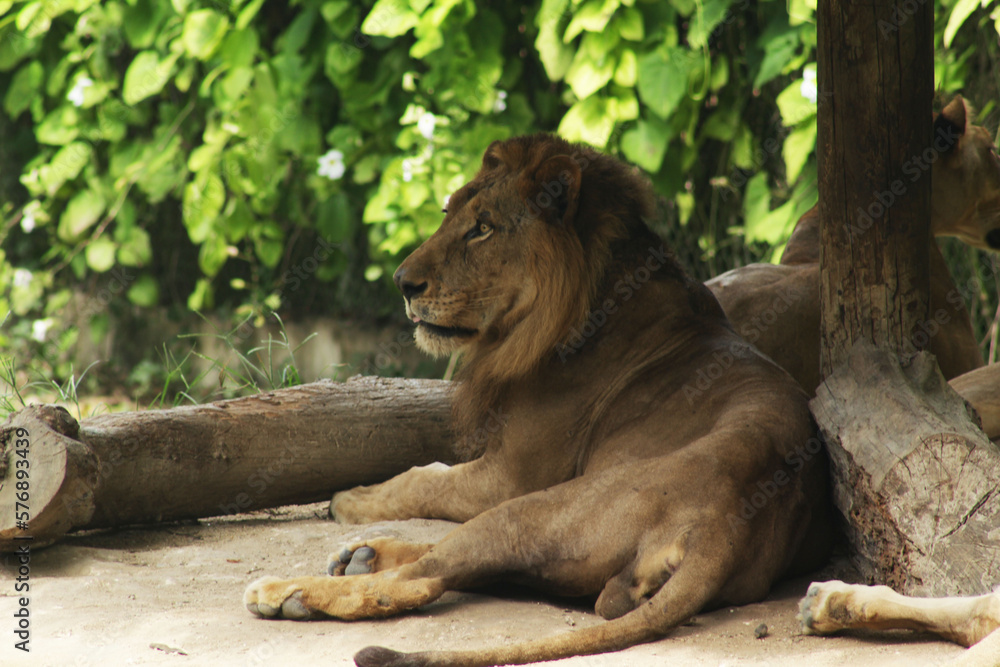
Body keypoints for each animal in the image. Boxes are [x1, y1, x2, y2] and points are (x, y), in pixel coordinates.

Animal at [243, 134, 831, 666]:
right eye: (448, 213)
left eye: (482, 228)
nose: (402, 282)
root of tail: (727, 524)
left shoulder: (511, 475)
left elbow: (424, 478)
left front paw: (351, 498)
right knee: (452, 561)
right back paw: (362, 555)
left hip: (536, 509)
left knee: (421, 578)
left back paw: (290, 592)